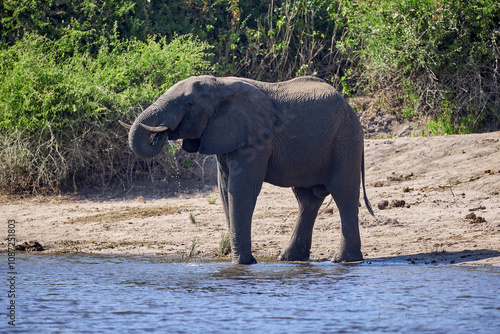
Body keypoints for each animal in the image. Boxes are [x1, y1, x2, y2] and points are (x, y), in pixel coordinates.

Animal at [119, 75, 374, 264]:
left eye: (188, 104)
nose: (159, 135)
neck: (220, 85)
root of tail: (351, 107)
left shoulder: (255, 140)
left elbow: (241, 190)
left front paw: (242, 263)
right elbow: (225, 191)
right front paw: (243, 261)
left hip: (345, 140)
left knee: (343, 194)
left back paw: (343, 261)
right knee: (307, 199)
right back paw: (289, 259)